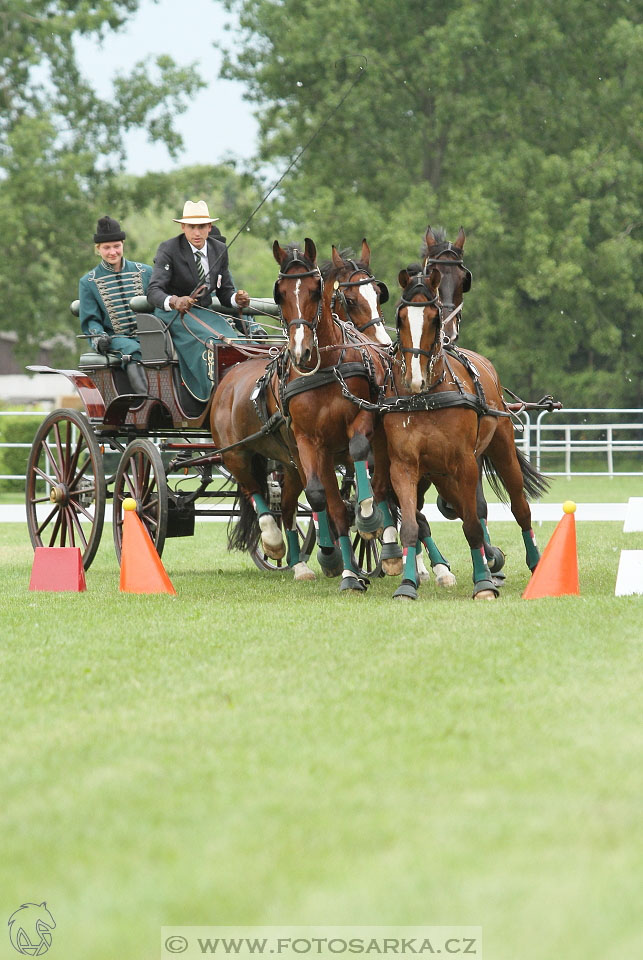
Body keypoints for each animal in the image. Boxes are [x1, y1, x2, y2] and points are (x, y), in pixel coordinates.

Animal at [382, 266, 548, 600]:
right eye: (401, 318)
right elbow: (410, 525)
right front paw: (407, 584)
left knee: (519, 508)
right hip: (438, 475)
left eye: (434, 318)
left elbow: (473, 523)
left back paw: (533, 564)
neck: (426, 398)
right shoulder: (404, 467)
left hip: (501, 450)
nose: (414, 378)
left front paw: (483, 582)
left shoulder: (465, 463)